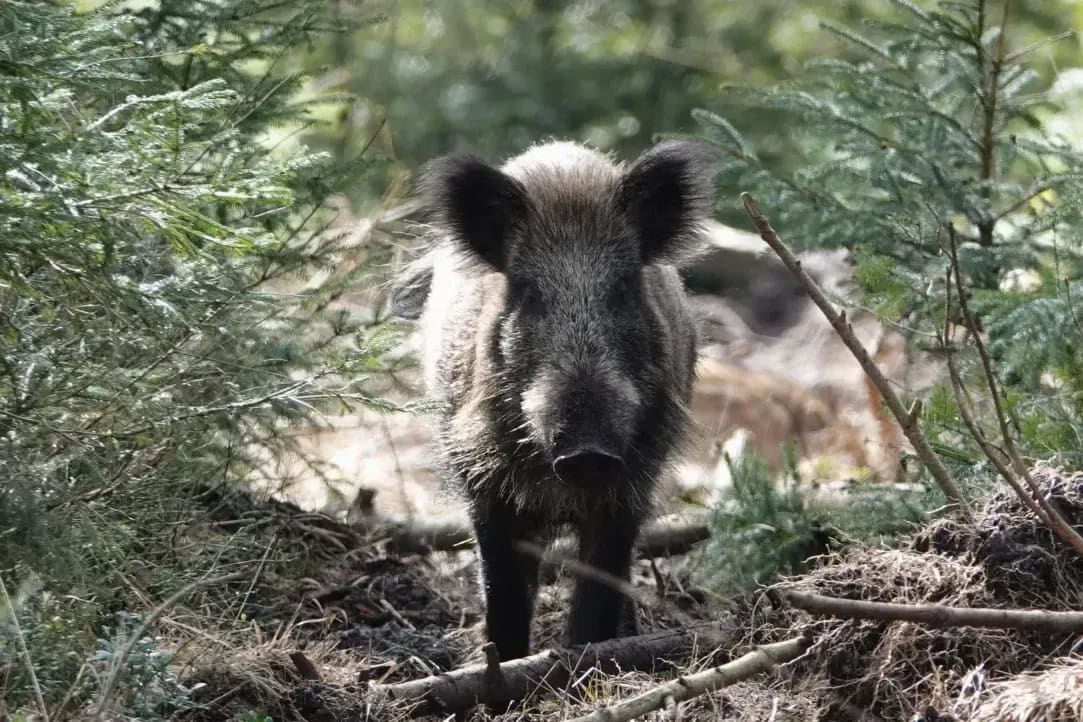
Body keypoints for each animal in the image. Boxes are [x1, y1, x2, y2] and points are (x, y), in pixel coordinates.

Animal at [393, 138, 718, 662]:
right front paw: (505, 664)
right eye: (529, 293)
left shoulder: (633, 479)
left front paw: (585, 658)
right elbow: (502, 591)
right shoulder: (482, 481)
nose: (587, 450)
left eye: (622, 289)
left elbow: (599, 586)